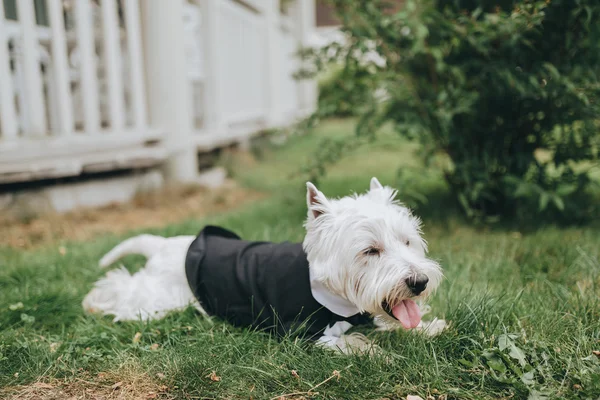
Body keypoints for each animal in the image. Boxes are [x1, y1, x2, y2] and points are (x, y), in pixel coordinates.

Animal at [82, 178, 442, 350]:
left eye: (407, 241)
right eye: (370, 251)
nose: (419, 282)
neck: (327, 290)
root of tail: (164, 245)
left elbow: (385, 321)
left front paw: (429, 327)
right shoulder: (299, 333)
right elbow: (349, 341)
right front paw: (377, 353)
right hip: (159, 299)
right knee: (122, 287)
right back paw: (92, 303)